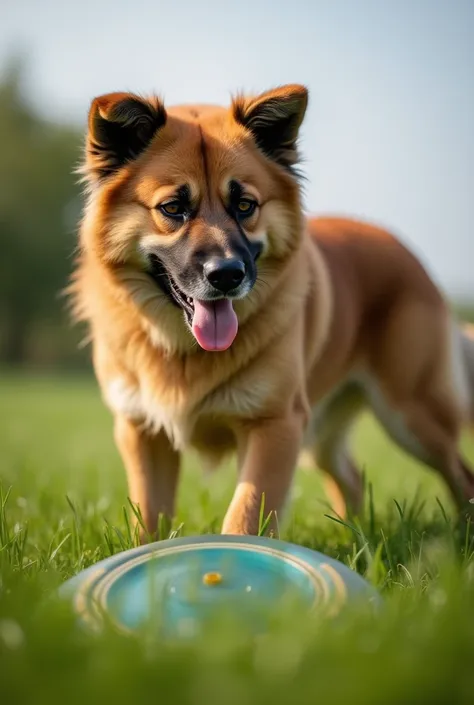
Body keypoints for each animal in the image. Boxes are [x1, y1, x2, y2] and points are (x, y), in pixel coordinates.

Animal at [69, 86, 474, 540]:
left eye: (245, 205)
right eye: (173, 208)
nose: (227, 274)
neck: (185, 351)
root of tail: (404, 250)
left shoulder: (275, 425)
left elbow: (244, 516)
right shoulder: (142, 430)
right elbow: (149, 517)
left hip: (414, 415)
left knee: (460, 473)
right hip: (325, 431)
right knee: (351, 478)